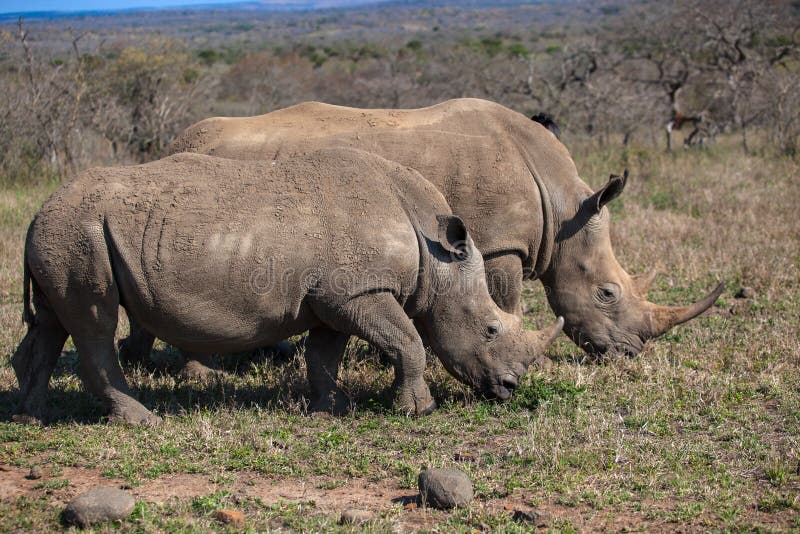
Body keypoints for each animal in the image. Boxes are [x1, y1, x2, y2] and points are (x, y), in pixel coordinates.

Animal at [10, 149, 564, 426]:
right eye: (490, 329)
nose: (511, 388)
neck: (433, 249)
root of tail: (37, 212)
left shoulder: (338, 296)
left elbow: (324, 353)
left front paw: (331, 409)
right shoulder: (358, 291)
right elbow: (409, 341)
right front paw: (417, 411)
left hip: (65, 236)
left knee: (56, 321)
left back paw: (31, 416)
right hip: (80, 234)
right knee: (94, 323)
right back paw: (141, 420)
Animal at [123, 98, 720, 368]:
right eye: (608, 293)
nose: (629, 353)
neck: (562, 203)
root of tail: (175, 142)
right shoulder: (498, 243)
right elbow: (508, 304)